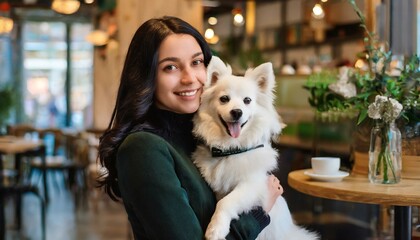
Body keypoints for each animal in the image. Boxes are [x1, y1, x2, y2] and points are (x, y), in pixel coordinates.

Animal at [193, 56, 318, 240]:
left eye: (247, 100)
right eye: (224, 99)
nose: (237, 112)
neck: (232, 149)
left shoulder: (252, 185)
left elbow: (226, 202)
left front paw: (215, 228)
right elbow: (222, 199)